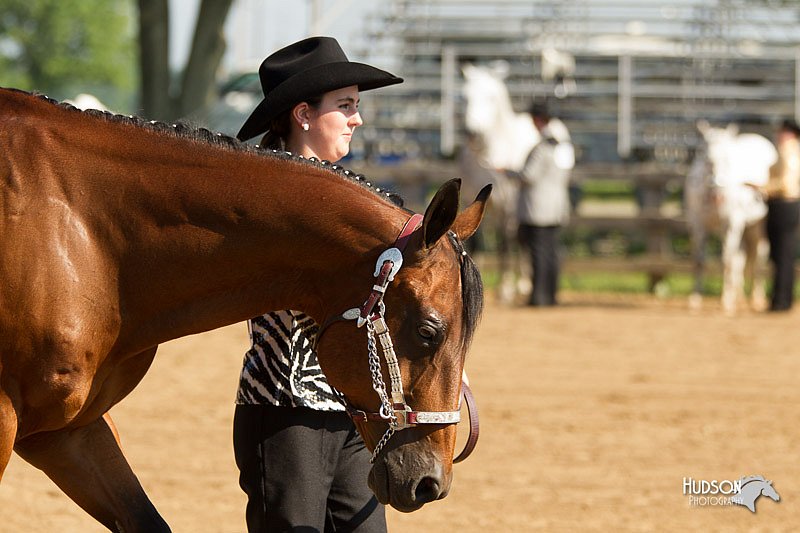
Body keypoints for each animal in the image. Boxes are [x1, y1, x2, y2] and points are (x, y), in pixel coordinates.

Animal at [460, 61, 540, 302]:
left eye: (491, 97)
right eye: (464, 96)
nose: (471, 132)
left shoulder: (509, 204)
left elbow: (506, 242)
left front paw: (505, 289)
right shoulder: (471, 197)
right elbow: (472, 239)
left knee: (519, 238)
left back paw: (523, 283)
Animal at [684, 120, 780, 312]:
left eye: (727, 158)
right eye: (703, 153)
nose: (716, 189)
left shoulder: (730, 225)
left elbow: (727, 260)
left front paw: (726, 301)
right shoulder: (698, 226)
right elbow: (699, 261)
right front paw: (695, 299)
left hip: (757, 229)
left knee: (758, 260)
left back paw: (756, 298)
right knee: (741, 260)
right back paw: (740, 296)